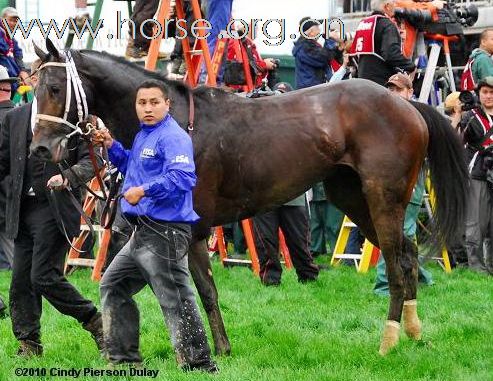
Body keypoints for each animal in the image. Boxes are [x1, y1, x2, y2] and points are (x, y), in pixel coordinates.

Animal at [28, 40, 468, 356]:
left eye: (55, 88)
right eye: (33, 89)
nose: (40, 149)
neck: (175, 123)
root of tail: (407, 105)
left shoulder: (191, 230)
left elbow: (202, 291)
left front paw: (218, 349)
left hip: (382, 198)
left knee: (395, 262)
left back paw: (388, 340)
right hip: (353, 198)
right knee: (408, 255)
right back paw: (413, 333)